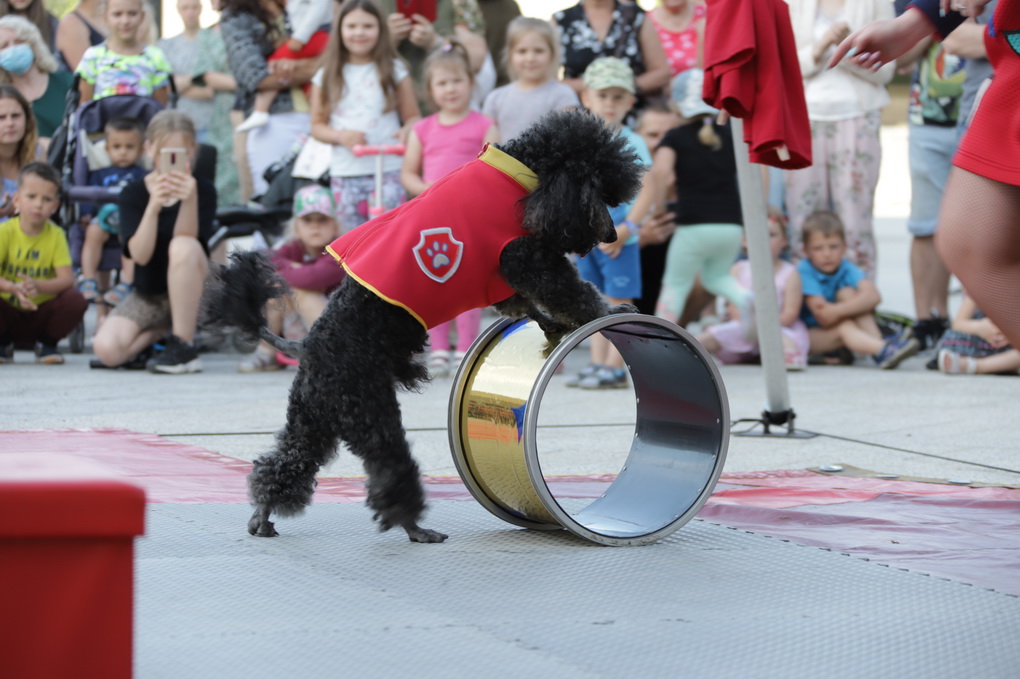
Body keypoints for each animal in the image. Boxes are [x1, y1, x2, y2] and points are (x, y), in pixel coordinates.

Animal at [204, 109, 644, 543]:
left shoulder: (502, 275)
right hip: (370, 413)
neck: (523, 169)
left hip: (312, 418)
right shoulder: (524, 256)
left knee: (284, 465)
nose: (612, 234)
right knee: (389, 473)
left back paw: (263, 516)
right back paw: (415, 528)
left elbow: (526, 305)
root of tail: (306, 348)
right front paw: (605, 310)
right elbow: (571, 292)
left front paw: (554, 323)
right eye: (599, 191)